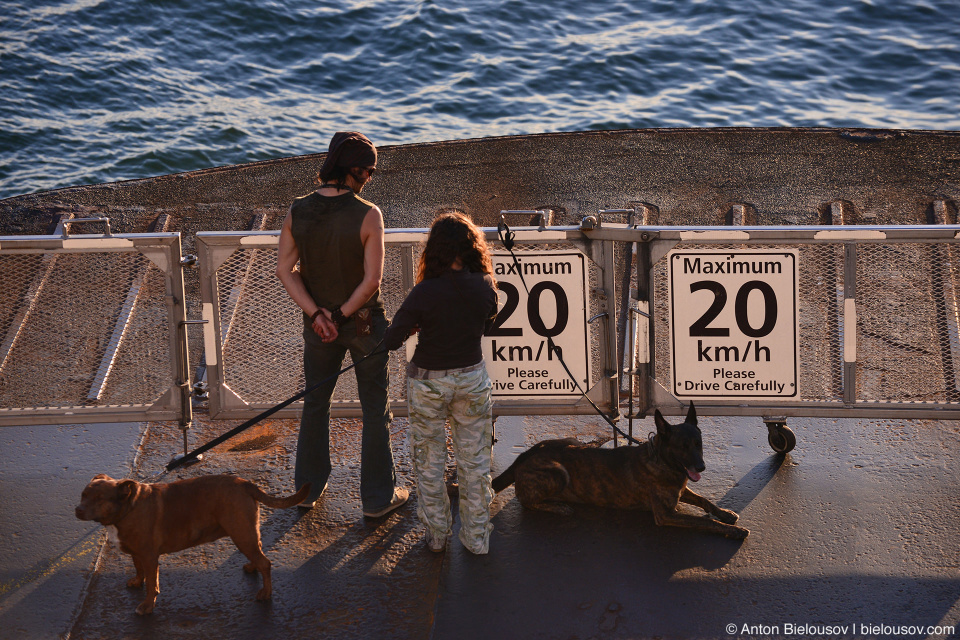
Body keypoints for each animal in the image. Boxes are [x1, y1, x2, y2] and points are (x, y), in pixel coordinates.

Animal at [76, 472, 308, 612]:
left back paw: (266, 593)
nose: (77, 510)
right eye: (83, 494)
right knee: (258, 553)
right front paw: (137, 581)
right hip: (247, 533)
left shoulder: (150, 557)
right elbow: (138, 569)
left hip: (241, 533)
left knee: (265, 563)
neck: (128, 507)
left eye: (99, 499)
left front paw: (148, 605)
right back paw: (252, 567)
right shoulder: (137, 553)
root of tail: (245, 484)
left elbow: (152, 583)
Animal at [492, 404, 748, 540]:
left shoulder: (681, 489)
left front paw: (725, 513)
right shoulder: (666, 515)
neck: (661, 460)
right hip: (557, 473)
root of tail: (525, 455)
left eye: (698, 443)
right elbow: (705, 523)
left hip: (572, 441)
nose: (701, 467)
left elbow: (705, 501)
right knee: (525, 501)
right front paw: (733, 531)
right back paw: (558, 507)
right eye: (681, 447)